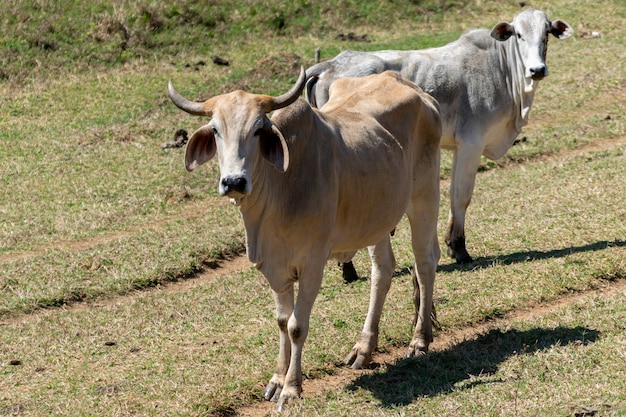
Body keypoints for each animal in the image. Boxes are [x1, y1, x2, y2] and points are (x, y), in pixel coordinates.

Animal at [166, 69, 438, 410]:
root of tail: (409, 85)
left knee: (425, 263)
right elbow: (283, 320)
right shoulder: (275, 267)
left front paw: (292, 388)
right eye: (215, 129)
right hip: (377, 219)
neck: (280, 190)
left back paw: (420, 340)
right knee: (383, 271)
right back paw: (364, 348)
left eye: (258, 129)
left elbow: (297, 326)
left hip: (423, 198)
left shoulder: (312, 264)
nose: (234, 181)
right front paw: (276, 380)